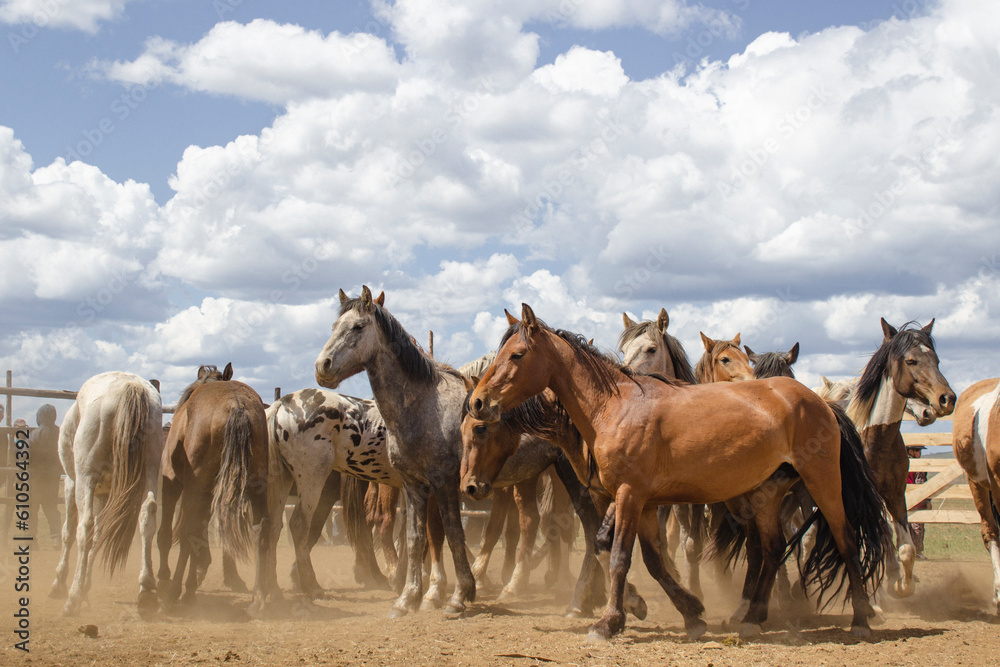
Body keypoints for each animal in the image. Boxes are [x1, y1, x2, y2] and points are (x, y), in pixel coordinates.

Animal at [50, 371, 163, 617]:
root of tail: (130, 385)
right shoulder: (104, 495)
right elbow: (100, 533)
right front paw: (85, 583)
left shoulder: (71, 482)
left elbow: (69, 532)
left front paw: (62, 583)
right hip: (149, 472)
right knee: (147, 516)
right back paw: (146, 588)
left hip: (84, 479)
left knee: (84, 527)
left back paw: (72, 597)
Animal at [157, 364, 274, 614]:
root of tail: (237, 405)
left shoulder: (172, 484)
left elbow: (167, 534)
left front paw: (165, 580)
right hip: (255, 484)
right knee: (260, 527)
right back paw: (258, 597)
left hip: (194, 487)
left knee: (188, 532)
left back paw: (173, 593)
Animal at [314, 286, 476, 616]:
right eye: (334, 326)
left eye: (358, 327)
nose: (322, 366)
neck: (427, 406)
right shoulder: (415, 486)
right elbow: (416, 538)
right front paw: (408, 597)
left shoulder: (443, 483)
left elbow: (452, 534)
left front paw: (458, 595)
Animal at [469, 304, 889, 641]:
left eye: (518, 354)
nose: (477, 401)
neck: (616, 406)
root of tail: (820, 401)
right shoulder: (641, 503)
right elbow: (650, 560)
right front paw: (690, 612)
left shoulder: (629, 496)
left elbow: (620, 556)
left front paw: (609, 622)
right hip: (766, 495)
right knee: (770, 549)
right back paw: (752, 618)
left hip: (823, 483)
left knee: (846, 540)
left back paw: (860, 621)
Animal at [845, 318, 955, 599]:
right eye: (911, 361)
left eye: (937, 360)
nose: (946, 399)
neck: (877, 441)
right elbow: (872, 543)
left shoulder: (895, 494)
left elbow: (906, 548)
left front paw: (901, 585)